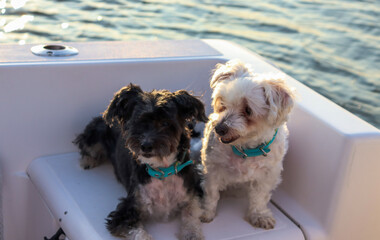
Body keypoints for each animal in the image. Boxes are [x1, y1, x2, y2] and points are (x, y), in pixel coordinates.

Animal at [74, 83, 208, 239]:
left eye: (165, 122)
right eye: (137, 121)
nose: (146, 146)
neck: (162, 171)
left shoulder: (192, 191)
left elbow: (191, 212)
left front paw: (192, 234)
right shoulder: (124, 212)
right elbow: (139, 234)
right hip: (96, 131)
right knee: (85, 143)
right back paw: (88, 161)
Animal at [200, 59, 296, 229]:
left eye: (248, 110)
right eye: (222, 103)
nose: (219, 128)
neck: (246, 149)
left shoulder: (267, 175)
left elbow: (260, 197)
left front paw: (260, 215)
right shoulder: (213, 168)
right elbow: (211, 193)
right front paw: (206, 212)